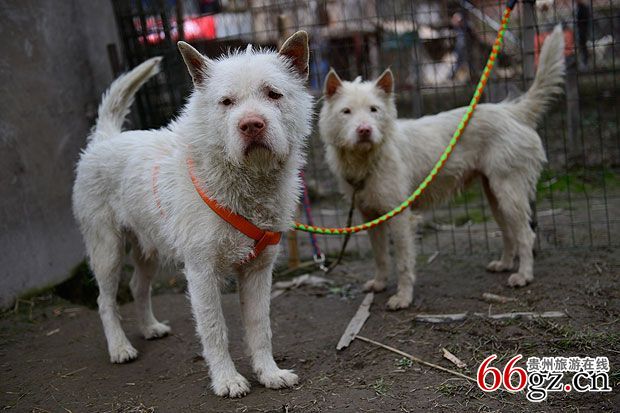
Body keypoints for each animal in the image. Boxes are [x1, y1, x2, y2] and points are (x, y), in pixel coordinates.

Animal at [72, 32, 312, 397]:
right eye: (226, 102)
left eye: (273, 93)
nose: (251, 125)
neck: (241, 183)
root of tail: (104, 140)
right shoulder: (202, 274)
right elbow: (215, 331)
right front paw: (227, 380)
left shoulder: (258, 271)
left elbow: (260, 329)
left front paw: (269, 373)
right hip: (107, 251)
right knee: (105, 300)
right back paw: (120, 347)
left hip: (148, 250)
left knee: (138, 286)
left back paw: (150, 327)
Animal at [319, 26, 565, 310]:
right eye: (346, 111)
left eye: (374, 110)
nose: (364, 130)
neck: (368, 158)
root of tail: (512, 111)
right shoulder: (369, 216)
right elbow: (380, 256)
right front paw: (379, 283)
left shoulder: (400, 218)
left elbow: (403, 262)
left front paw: (403, 297)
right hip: (495, 195)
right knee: (509, 233)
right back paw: (504, 264)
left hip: (509, 193)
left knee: (526, 235)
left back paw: (523, 275)